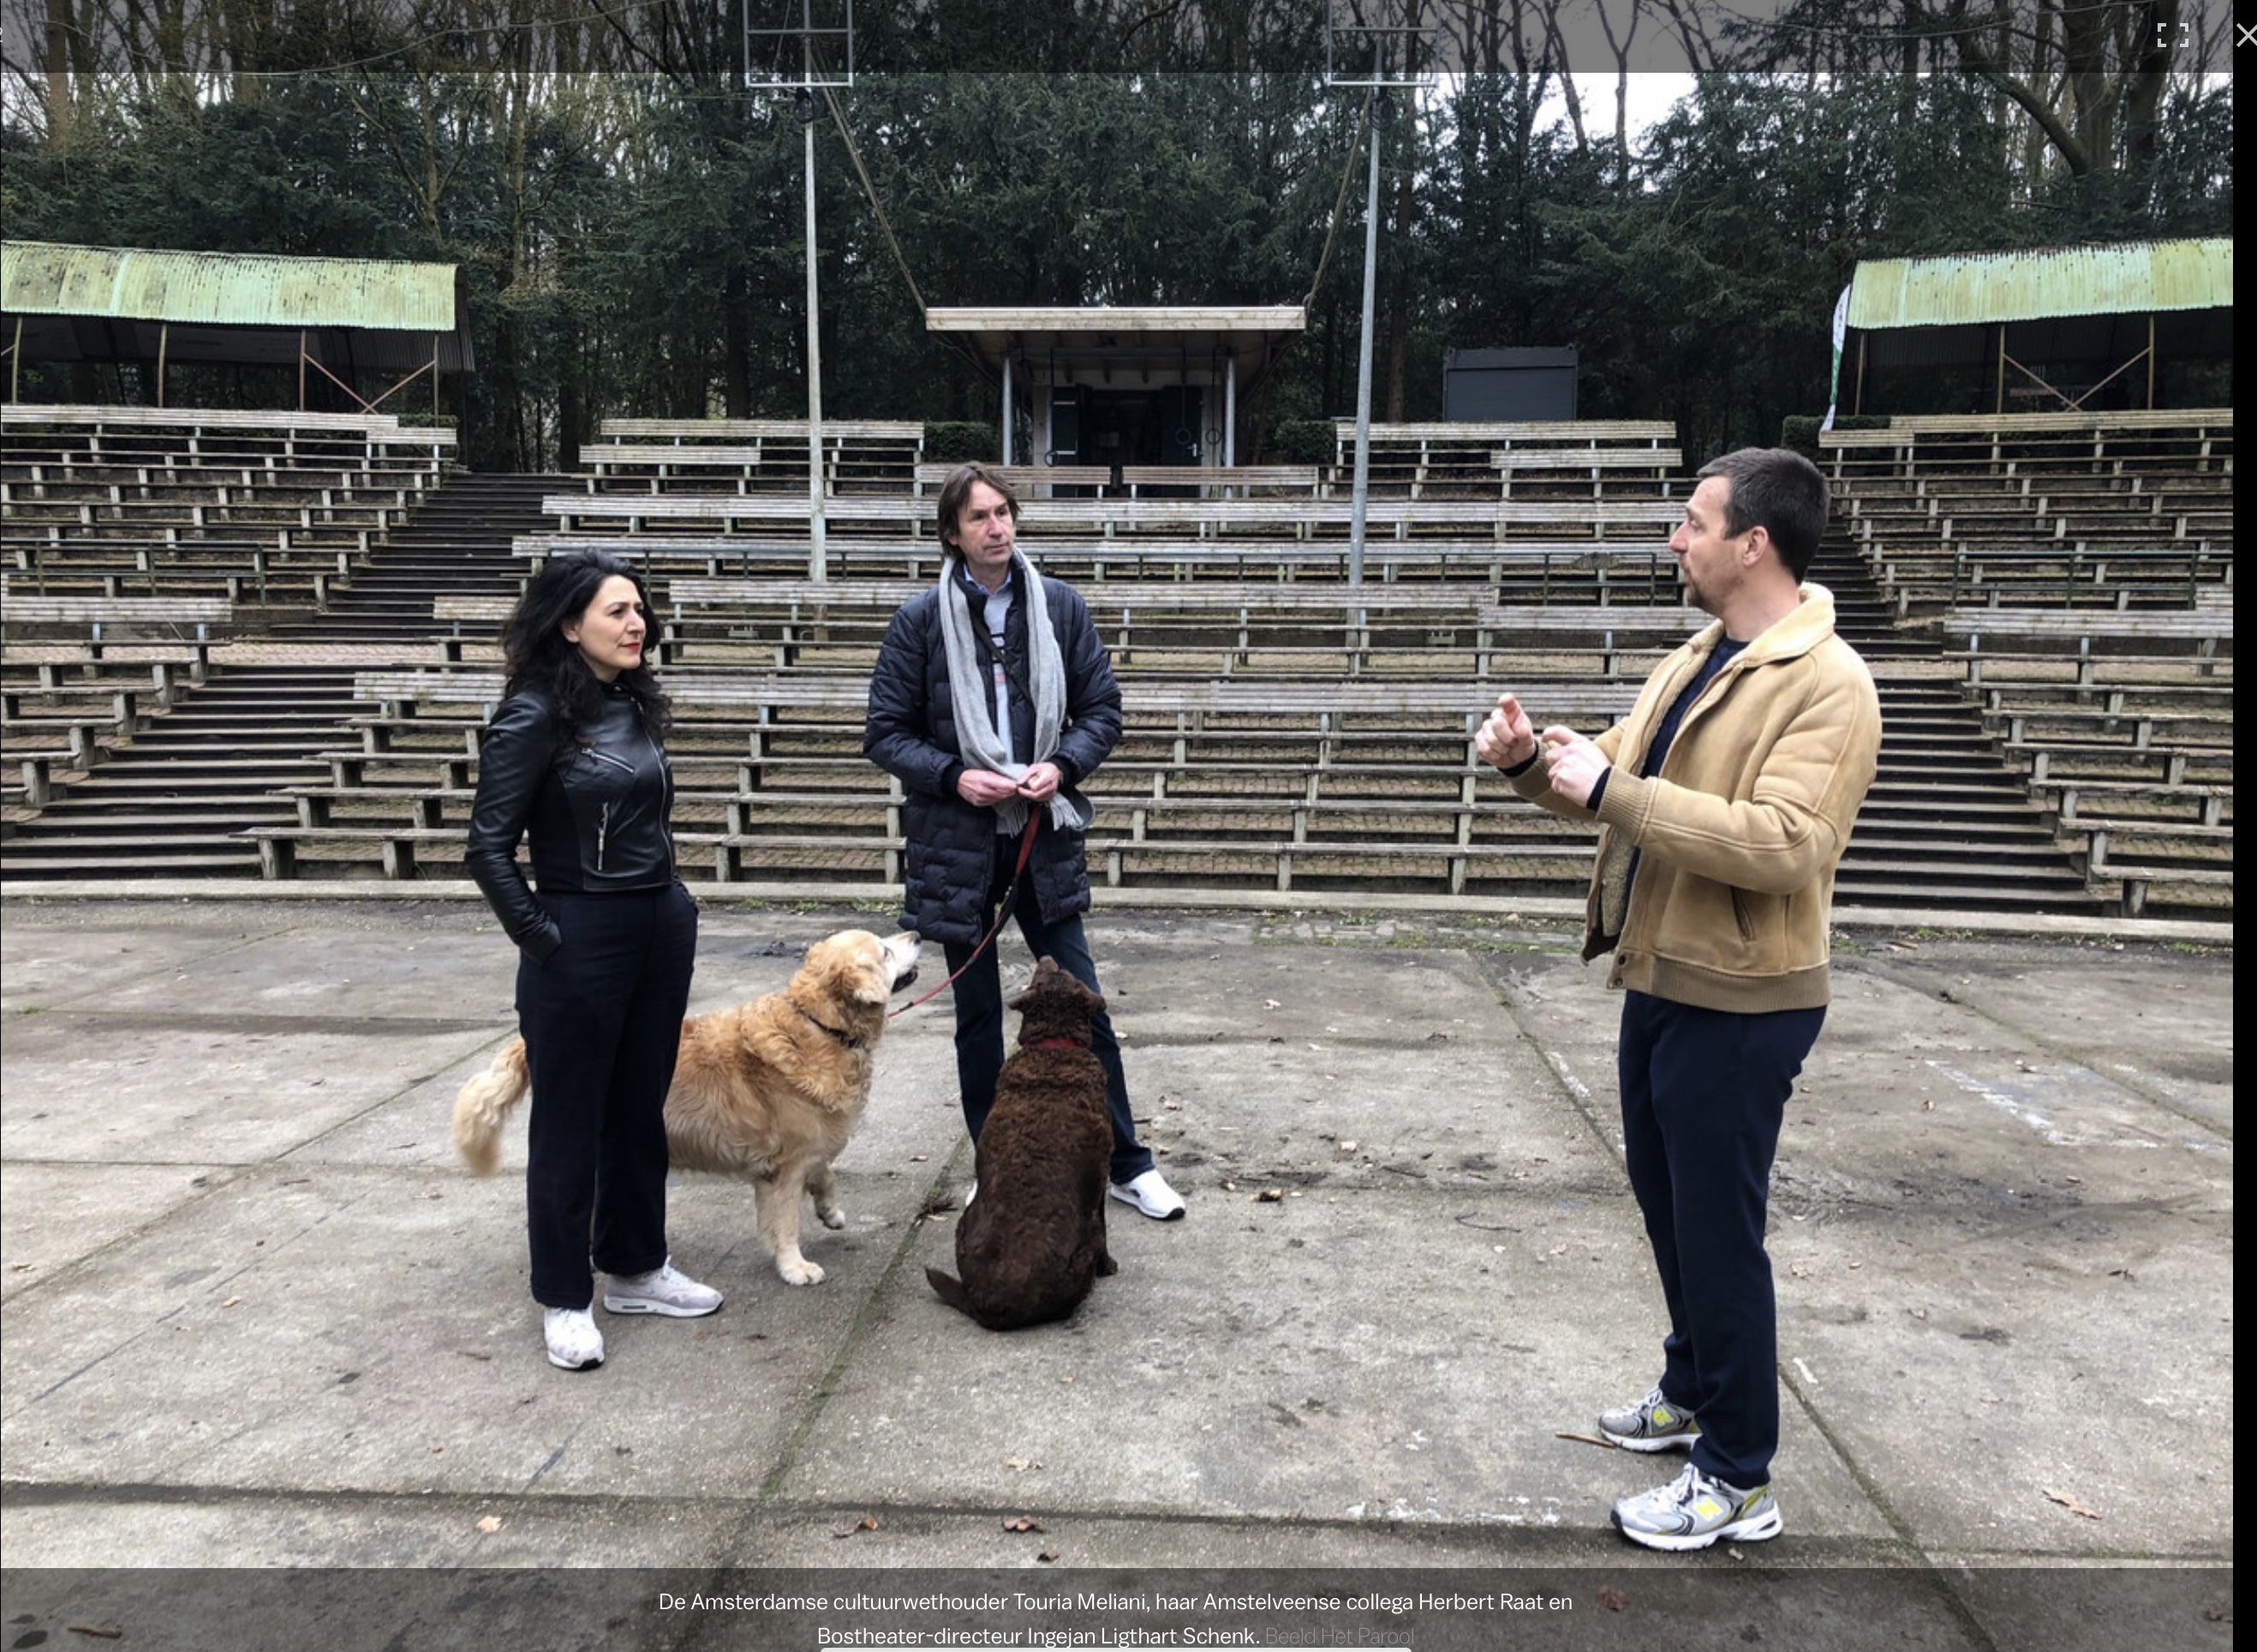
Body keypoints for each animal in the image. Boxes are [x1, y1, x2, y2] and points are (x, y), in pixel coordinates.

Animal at [453, 928, 922, 1286]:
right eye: (883, 950)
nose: (916, 933)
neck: (819, 1026)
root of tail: (528, 1043)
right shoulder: (784, 1167)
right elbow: (786, 1222)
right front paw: (795, 1267)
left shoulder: (805, 1148)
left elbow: (825, 1176)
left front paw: (831, 1213)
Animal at [927, 956, 1117, 1330]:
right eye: (1061, 973)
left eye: (1047, 974)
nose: (1047, 956)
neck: (1053, 1048)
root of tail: (989, 1307)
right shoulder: (1099, 1179)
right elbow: (1103, 1227)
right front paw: (1110, 1266)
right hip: (1082, 1253)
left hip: (962, 1223)